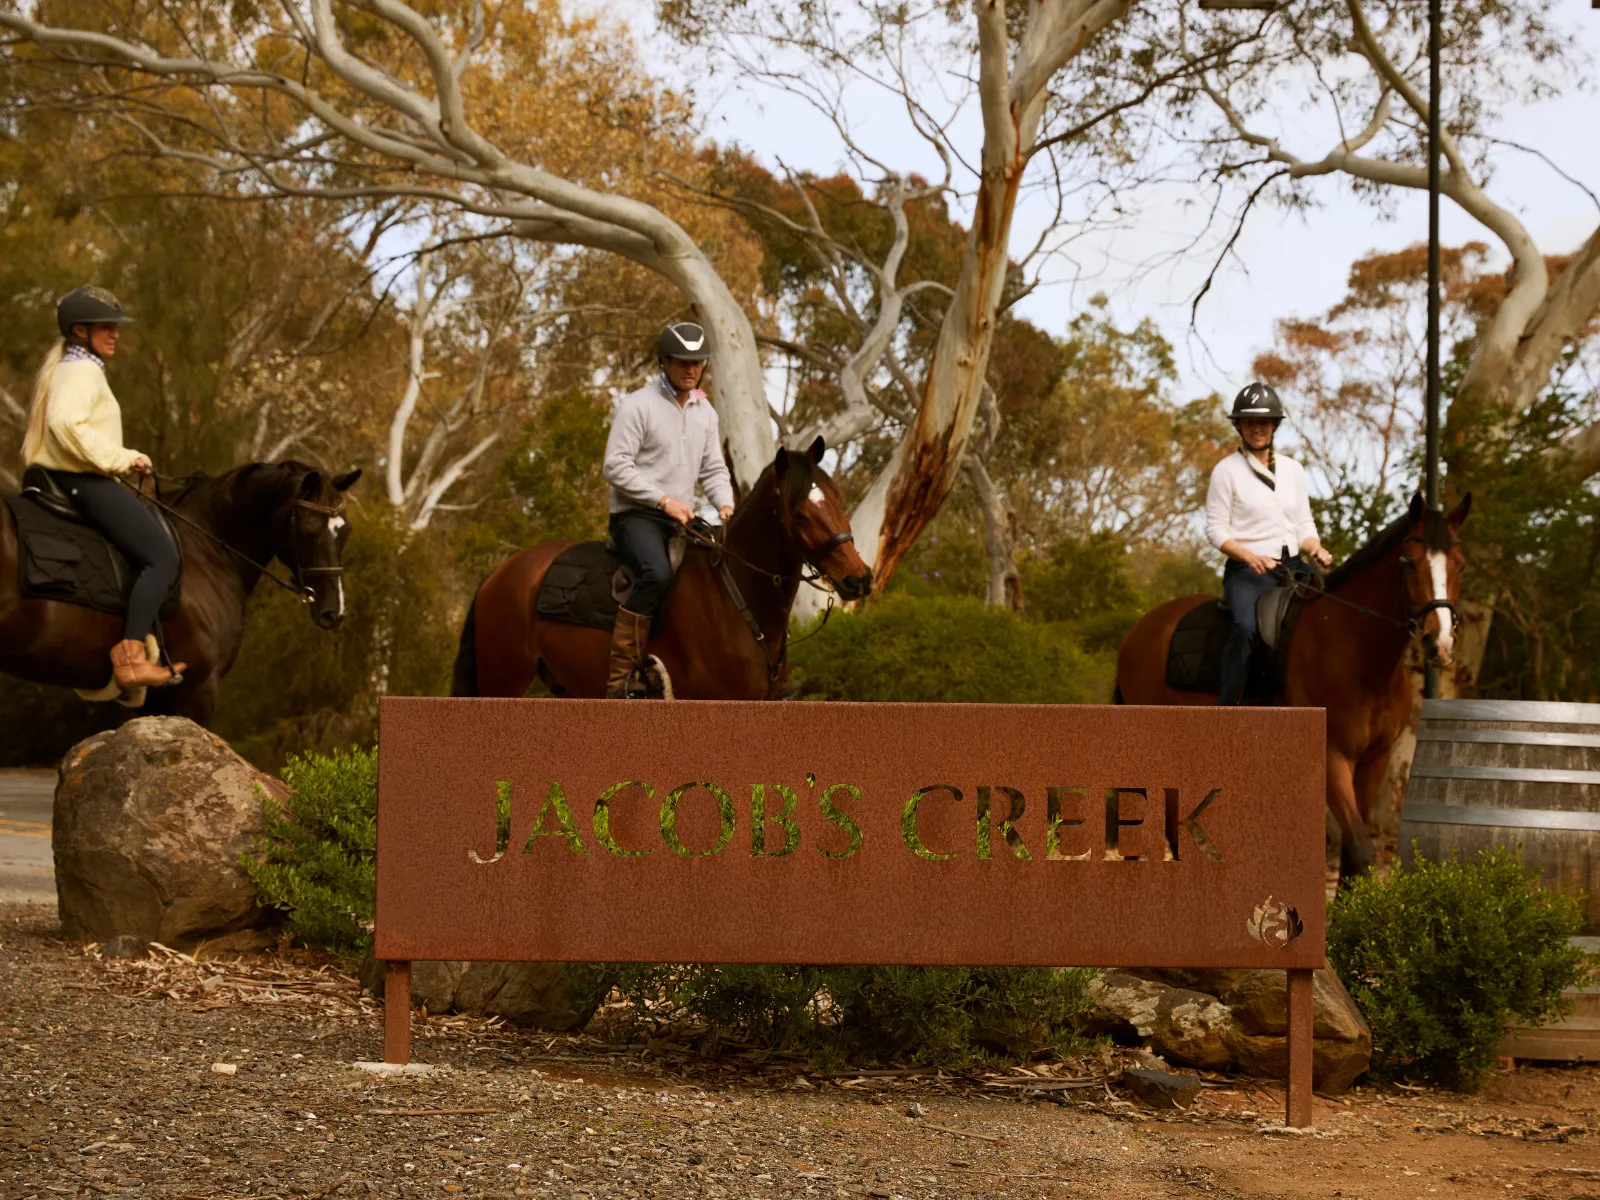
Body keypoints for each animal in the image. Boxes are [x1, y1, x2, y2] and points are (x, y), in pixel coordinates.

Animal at [0, 461, 360, 725]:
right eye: (308, 531)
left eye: (345, 531)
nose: (335, 611)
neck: (207, 551)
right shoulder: (196, 690)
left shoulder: (157, 700)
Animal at [453, 439, 873, 700]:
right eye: (800, 514)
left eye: (838, 498)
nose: (859, 579)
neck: (735, 599)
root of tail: (500, 574)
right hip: (503, 679)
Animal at [1114, 491, 1470, 882]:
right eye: (1410, 562)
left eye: (1460, 565)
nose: (1440, 643)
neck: (1353, 648)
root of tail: (1140, 630)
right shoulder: (1332, 759)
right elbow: (1361, 848)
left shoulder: (1375, 761)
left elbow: (1352, 854)